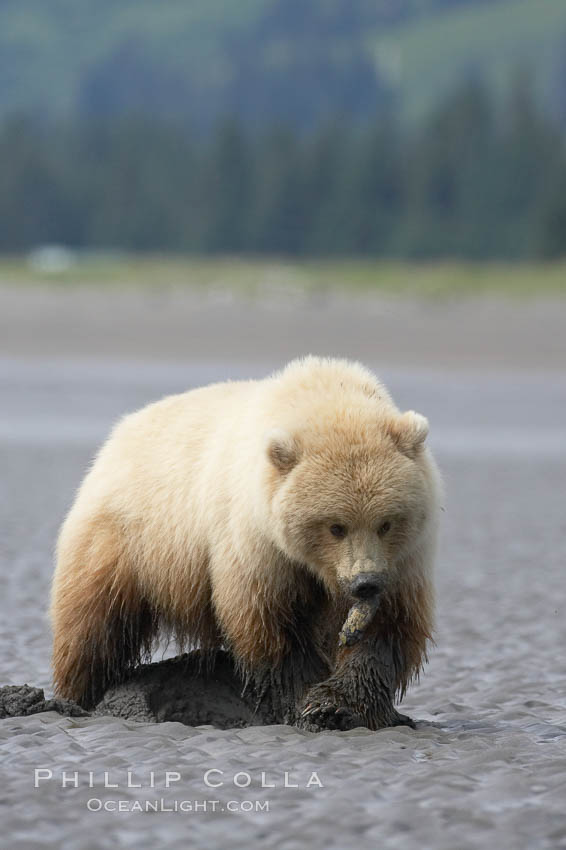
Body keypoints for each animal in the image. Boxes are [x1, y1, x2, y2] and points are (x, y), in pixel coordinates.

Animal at [51, 354, 442, 724]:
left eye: (386, 523)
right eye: (336, 526)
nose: (365, 583)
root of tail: (117, 436)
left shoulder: (404, 560)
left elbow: (387, 629)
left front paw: (336, 705)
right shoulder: (256, 542)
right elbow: (267, 623)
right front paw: (300, 697)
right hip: (125, 540)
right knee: (94, 625)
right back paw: (76, 695)